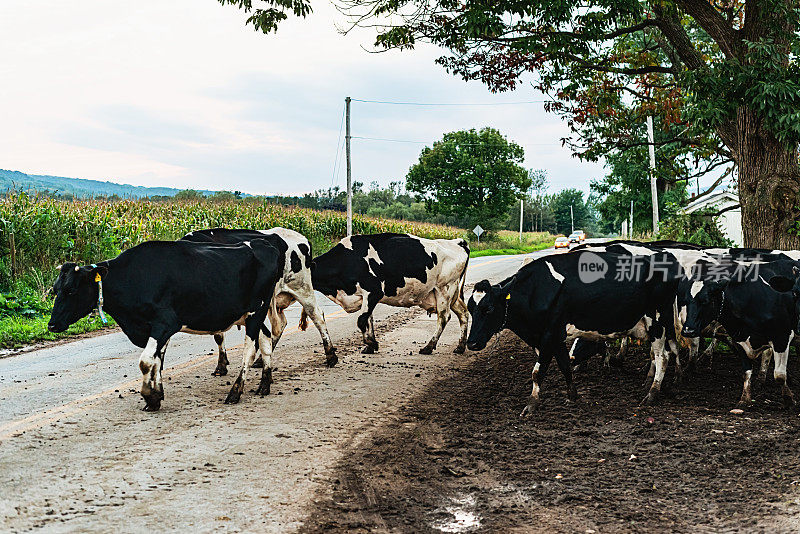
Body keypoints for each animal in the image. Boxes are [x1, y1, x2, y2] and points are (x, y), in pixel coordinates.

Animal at [47, 241, 284, 412]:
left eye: (71, 290)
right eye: (55, 289)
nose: (51, 325)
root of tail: (266, 245)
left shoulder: (165, 322)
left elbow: (146, 361)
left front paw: (149, 395)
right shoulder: (156, 329)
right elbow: (157, 361)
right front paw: (156, 395)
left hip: (255, 311)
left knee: (250, 349)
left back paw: (235, 392)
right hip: (249, 315)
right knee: (265, 338)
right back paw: (264, 385)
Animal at [182, 227, 338, 376]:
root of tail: (303, 238)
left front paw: (221, 365)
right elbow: (218, 336)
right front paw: (222, 365)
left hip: (301, 288)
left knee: (317, 316)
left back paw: (331, 356)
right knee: (281, 324)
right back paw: (260, 360)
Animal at [304, 233, 468, 356]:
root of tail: (457, 242)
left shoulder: (374, 291)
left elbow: (361, 320)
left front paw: (371, 343)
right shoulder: (366, 297)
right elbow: (368, 319)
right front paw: (370, 346)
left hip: (445, 289)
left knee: (444, 317)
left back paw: (428, 347)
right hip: (452, 294)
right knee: (463, 313)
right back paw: (460, 346)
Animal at [468, 249, 680, 416]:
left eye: (488, 309)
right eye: (470, 309)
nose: (471, 343)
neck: (536, 290)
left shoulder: (548, 336)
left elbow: (537, 372)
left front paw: (531, 405)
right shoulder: (555, 338)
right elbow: (565, 365)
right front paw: (572, 395)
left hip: (657, 323)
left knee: (663, 356)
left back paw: (652, 393)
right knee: (663, 353)